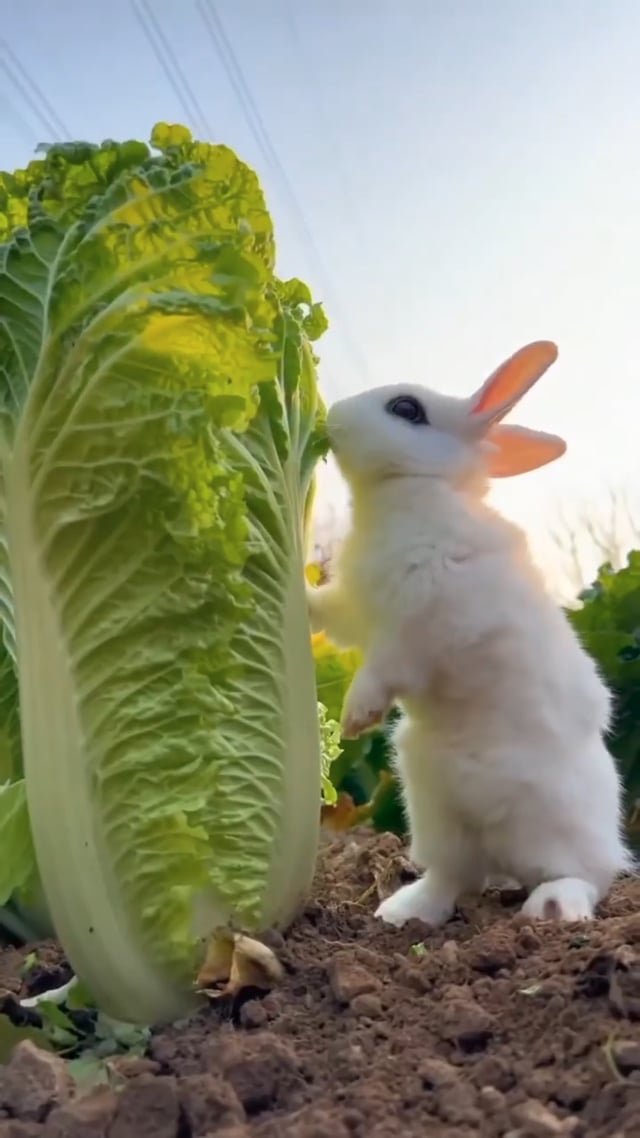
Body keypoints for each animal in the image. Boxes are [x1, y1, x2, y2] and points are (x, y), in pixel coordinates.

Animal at [307, 341, 628, 928]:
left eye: (407, 409)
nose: (333, 415)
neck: (414, 488)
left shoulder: (422, 621)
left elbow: (385, 666)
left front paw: (357, 716)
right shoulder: (357, 608)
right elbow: (329, 613)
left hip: (551, 829)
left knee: (583, 878)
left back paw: (553, 908)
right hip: (434, 812)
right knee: (452, 877)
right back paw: (401, 912)